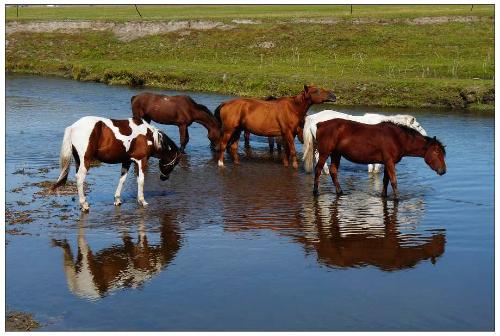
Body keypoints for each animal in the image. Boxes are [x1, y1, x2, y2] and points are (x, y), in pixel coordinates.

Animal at [52, 115, 182, 210]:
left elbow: (122, 180)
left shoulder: (127, 161)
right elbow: (141, 180)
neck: (149, 136)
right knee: (80, 178)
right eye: (175, 163)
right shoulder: (141, 160)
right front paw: (142, 201)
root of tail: (73, 127)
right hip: (85, 160)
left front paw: (117, 200)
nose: (164, 178)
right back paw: (84, 205)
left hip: (78, 160)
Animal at [312, 119, 446, 200]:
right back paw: (315, 191)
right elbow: (394, 181)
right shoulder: (390, 162)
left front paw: (384, 196)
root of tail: (321, 124)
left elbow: (386, 181)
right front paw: (397, 198)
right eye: (437, 152)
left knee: (333, 171)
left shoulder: (387, 162)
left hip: (336, 153)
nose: (443, 170)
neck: (398, 138)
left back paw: (340, 191)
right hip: (325, 153)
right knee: (318, 169)